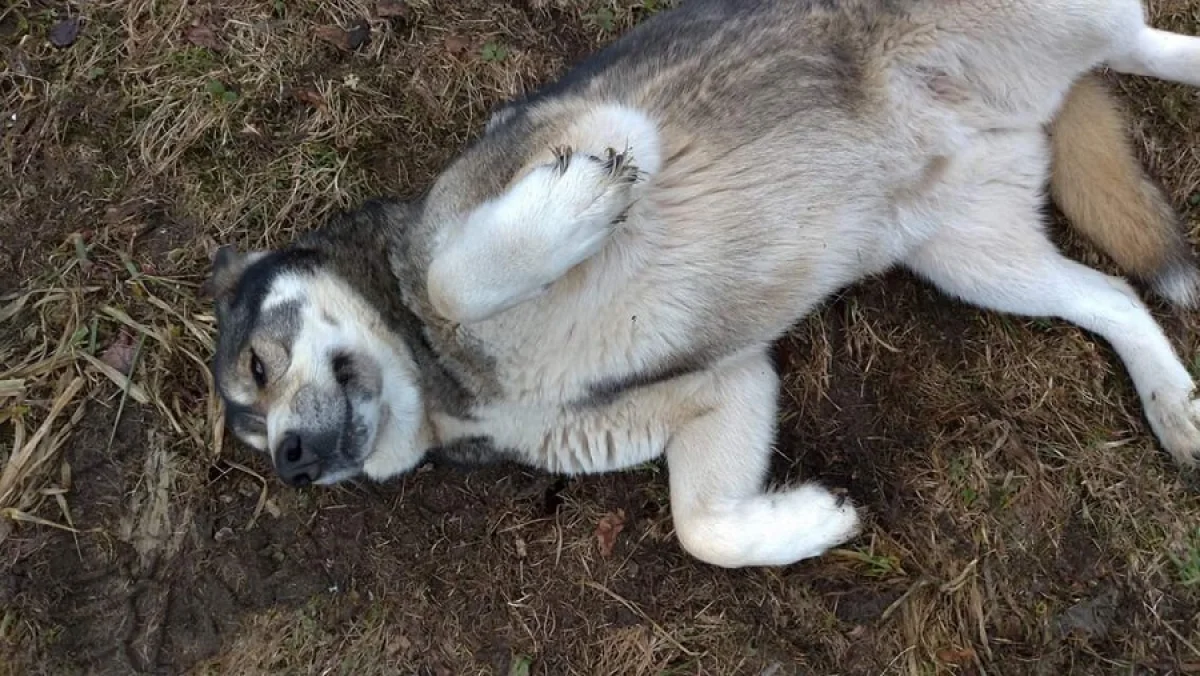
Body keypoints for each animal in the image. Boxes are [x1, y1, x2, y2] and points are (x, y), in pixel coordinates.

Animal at [211, 0, 1200, 571]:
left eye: (259, 367)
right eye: (252, 433)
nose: (293, 464)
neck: (447, 380)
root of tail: (1039, 103)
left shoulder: (600, 125)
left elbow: (462, 274)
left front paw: (580, 198)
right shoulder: (729, 385)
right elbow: (704, 528)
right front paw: (813, 521)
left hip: (1051, 28)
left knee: (1143, 35)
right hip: (974, 258)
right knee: (1115, 297)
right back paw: (1173, 404)